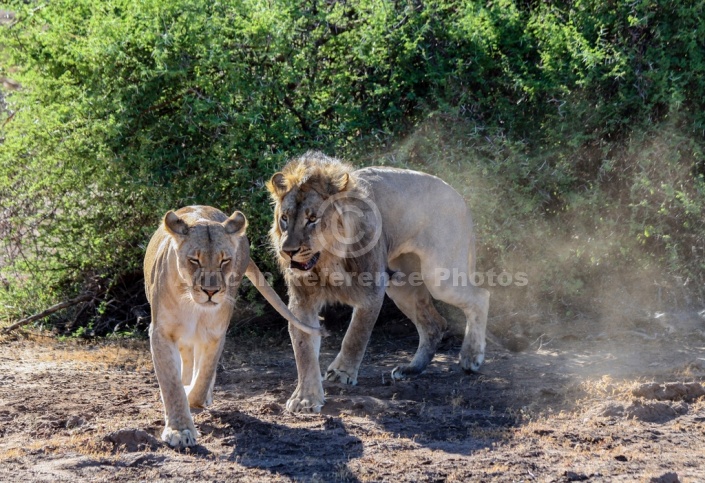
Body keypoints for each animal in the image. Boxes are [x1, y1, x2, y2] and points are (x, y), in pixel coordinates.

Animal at [146, 203, 322, 446]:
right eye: (194, 260)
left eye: (224, 260)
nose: (211, 292)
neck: (193, 306)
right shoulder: (161, 333)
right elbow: (171, 384)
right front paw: (179, 430)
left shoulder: (215, 333)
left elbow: (203, 377)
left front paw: (193, 396)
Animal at [266, 151, 486, 412]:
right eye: (284, 219)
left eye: (312, 219)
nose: (288, 251)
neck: (328, 261)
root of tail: (459, 196)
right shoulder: (303, 301)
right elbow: (304, 349)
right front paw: (305, 398)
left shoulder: (372, 291)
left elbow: (356, 334)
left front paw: (342, 372)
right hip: (401, 286)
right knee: (434, 325)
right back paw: (411, 369)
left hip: (440, 276)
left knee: (480, 296)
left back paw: (471, 357)